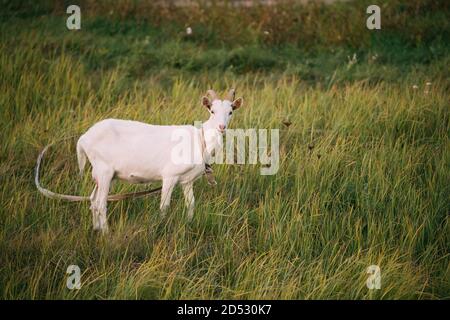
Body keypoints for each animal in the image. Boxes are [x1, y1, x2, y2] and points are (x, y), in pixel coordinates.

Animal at [76, 89, 243, 234]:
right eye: (212, 111)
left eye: (230, 112)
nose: (222, 127)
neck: (200, 140)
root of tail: (83, 139)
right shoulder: (170, 175)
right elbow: (164, 205)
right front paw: (161, 226)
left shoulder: (187, 180)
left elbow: (191, 204)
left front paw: (189, 223)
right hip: (104, 170)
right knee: (100, 204)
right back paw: (106, 233)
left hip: (104, 174)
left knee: (93, 200)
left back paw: (96, 229)